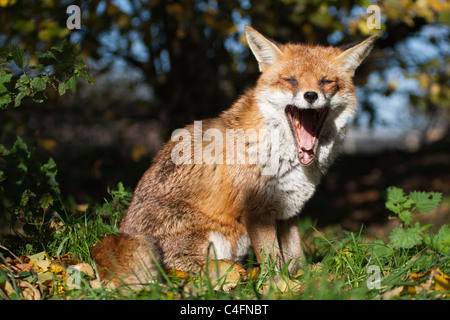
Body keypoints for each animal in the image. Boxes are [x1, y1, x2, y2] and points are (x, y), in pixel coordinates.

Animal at [90, 25, 376, 288]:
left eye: (325, 82)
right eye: (291, 80)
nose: (311, 95)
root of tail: (122, 233)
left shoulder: (288, 211)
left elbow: (296, 260)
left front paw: (305, 281)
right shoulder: (257, 210)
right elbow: (274, 264)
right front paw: (281, 286)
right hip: (207, 242)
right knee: (193, 276)